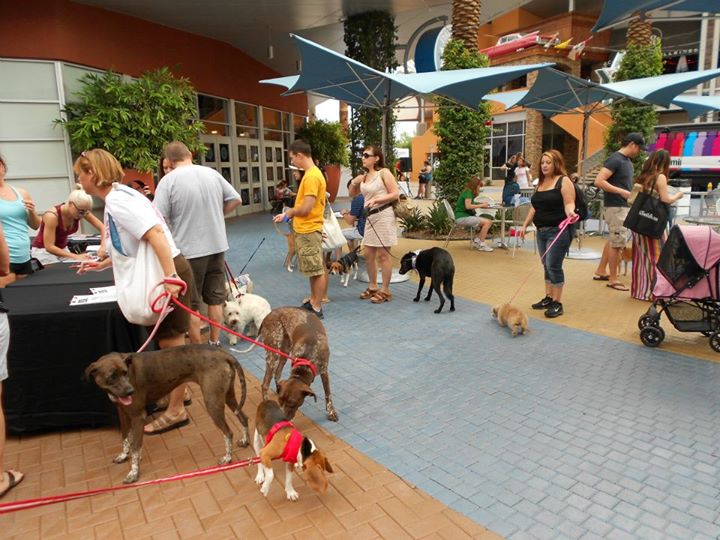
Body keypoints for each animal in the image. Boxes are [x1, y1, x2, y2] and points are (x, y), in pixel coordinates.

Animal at [84, 345, 250, 483]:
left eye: (125, 373)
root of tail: (223, 354)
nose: (131, 391)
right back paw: (245, 441)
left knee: (228, 432)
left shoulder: (138, 417)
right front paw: (124, 455)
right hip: (228, 396)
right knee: (244, 417)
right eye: (112, 376)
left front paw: (134, 473)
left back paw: (228, 458)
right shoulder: (123, 414)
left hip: (213, 402)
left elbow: (135, 447)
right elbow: (125, 438)